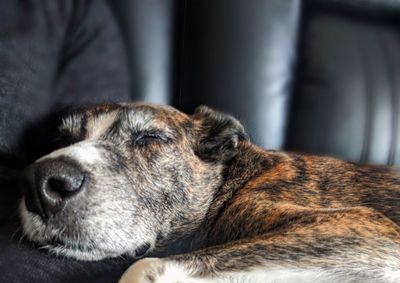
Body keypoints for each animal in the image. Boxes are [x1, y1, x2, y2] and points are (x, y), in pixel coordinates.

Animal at [18, 103, 400, 282]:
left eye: (150, 138)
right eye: (62, 139)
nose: (40, 183)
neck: (235, 182)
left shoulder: (360, 227)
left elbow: (144, 266)